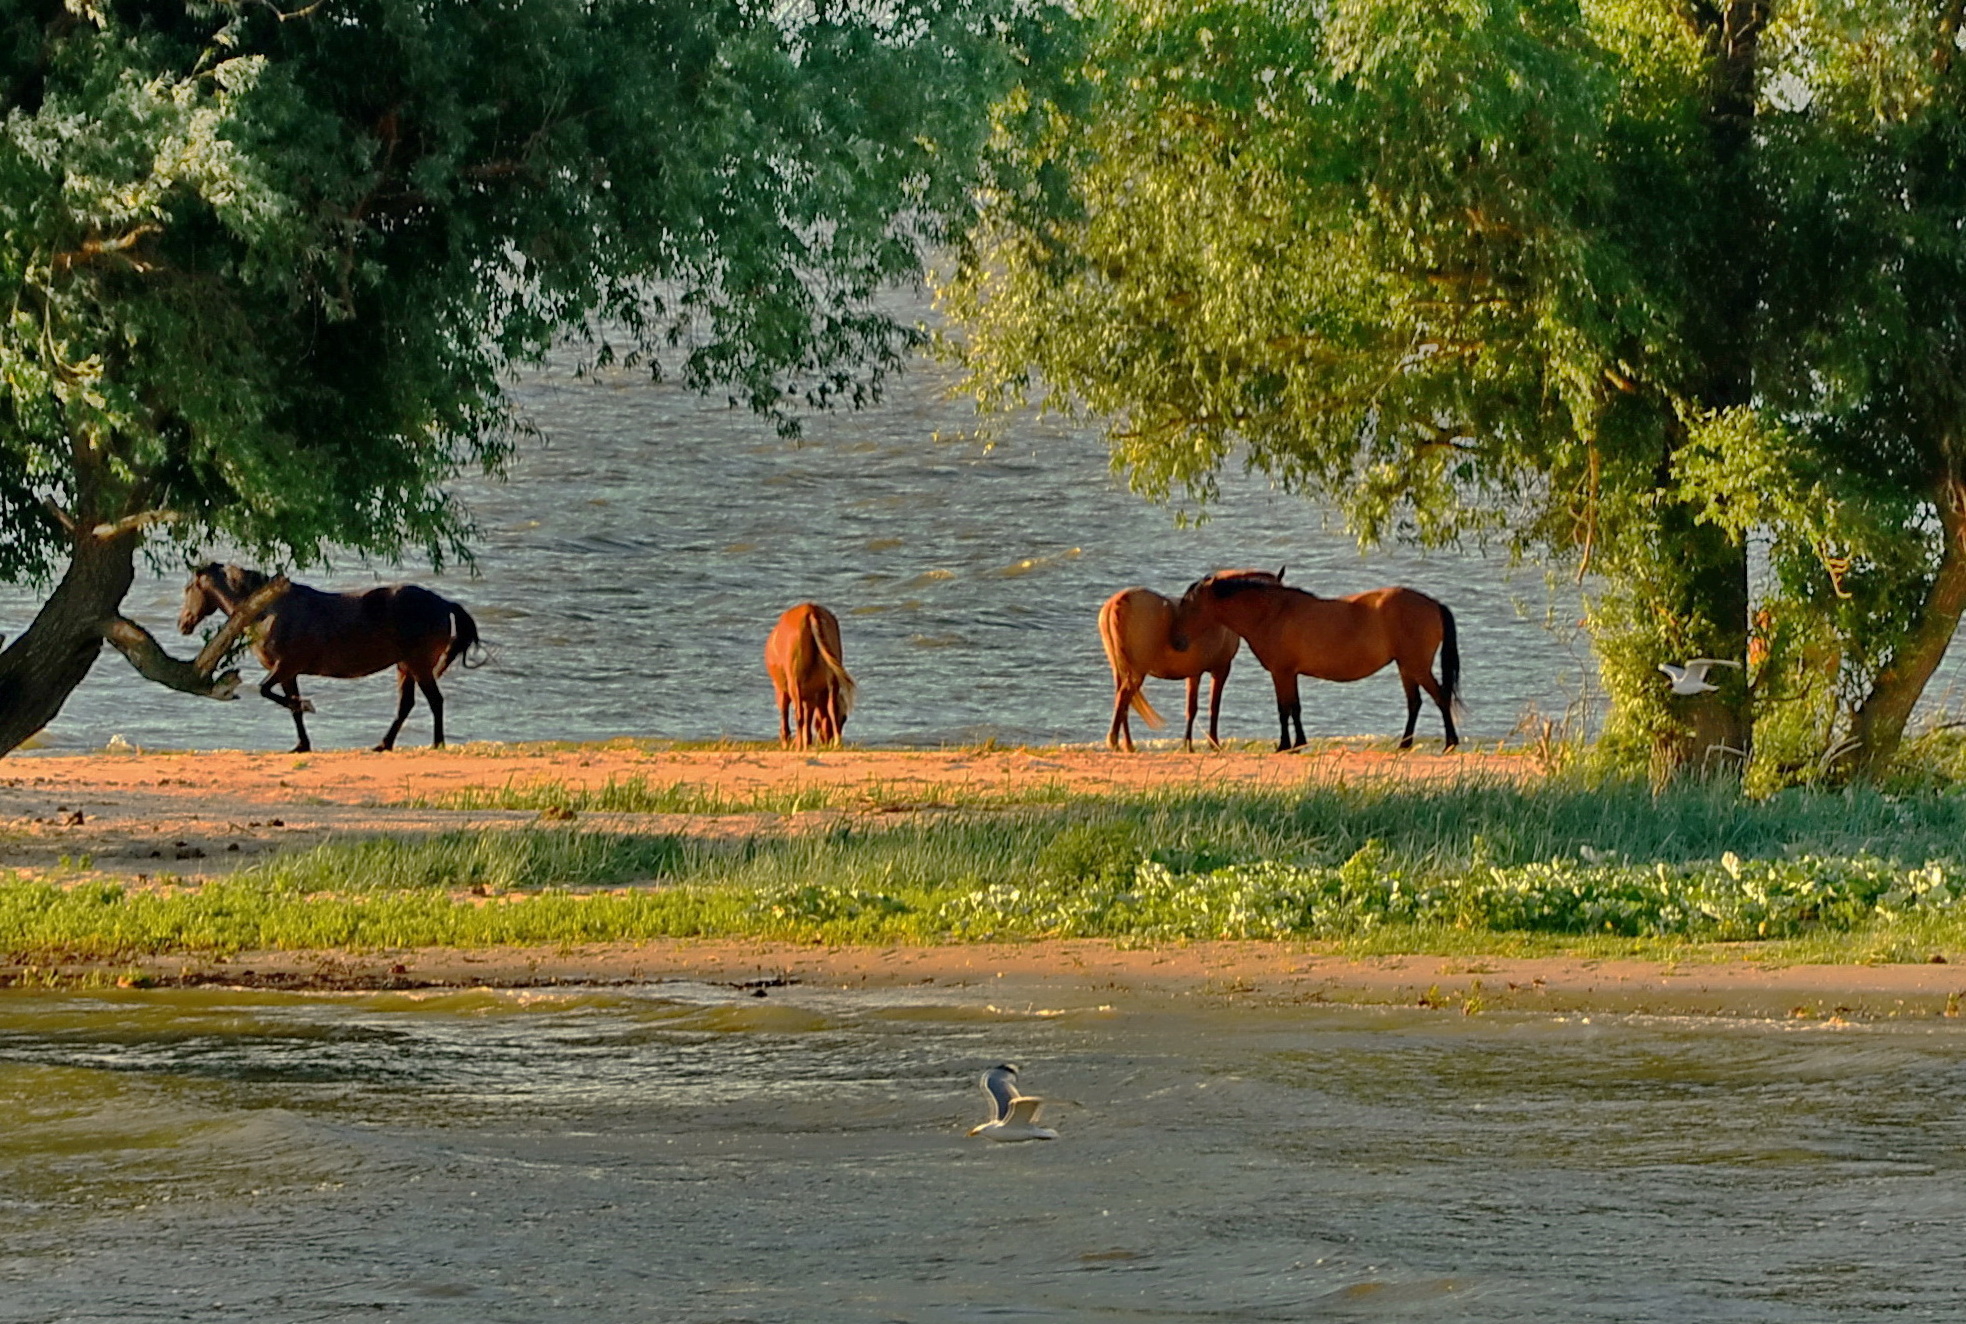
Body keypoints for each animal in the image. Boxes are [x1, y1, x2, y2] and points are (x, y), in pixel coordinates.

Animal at [179, 562, 483, 755]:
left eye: (188, 588)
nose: (183, 624)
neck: (271, 612)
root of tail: (443, 603)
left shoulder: (285, 667)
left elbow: (269, 692)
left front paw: (307, 706)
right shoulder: (289, 673)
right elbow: (290, 707)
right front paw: (301, 745)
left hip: (419, 666)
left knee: (435, 701)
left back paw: (437, 744)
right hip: (405, 667)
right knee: (406, 705)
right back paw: (383, 745)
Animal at [762, 605, 857, 747]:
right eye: (844, 718)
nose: (827, 740)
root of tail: (810, 609)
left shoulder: (781, 688)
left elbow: (786, 712)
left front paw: (788, 741)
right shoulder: (813, 694)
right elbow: (811, 716)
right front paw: (807, 741)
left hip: (794, 677)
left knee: (799, 713)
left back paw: (798, 745)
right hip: (832, 675)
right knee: (831, 707)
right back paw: (836, 743)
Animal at [1093, 582, 1242, 747]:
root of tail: (1118, 601)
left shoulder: (1194, 672)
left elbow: (1191, 708)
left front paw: (1188, 746)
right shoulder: (1221, 669)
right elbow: (1213, 707)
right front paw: (1214, 744)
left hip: (1120, 670)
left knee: (1124, 700)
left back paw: (1127, 745)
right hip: (1136, 672)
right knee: (1123, 696)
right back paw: (1116, 742)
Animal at [1163, 566, 1462, 755]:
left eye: (1188, 604)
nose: (1176, 642)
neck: (1272, 613)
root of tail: (1433, 604)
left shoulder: (1281, 672)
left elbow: (1284, 709)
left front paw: (1286, 745)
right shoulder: (1289, 673)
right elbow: (1294, 708)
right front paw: (1298, 743)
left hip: (1416, 666)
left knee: (1440, 697)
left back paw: (1450, 742)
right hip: (1406, 667)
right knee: (1415, 703)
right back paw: (1404, 744)